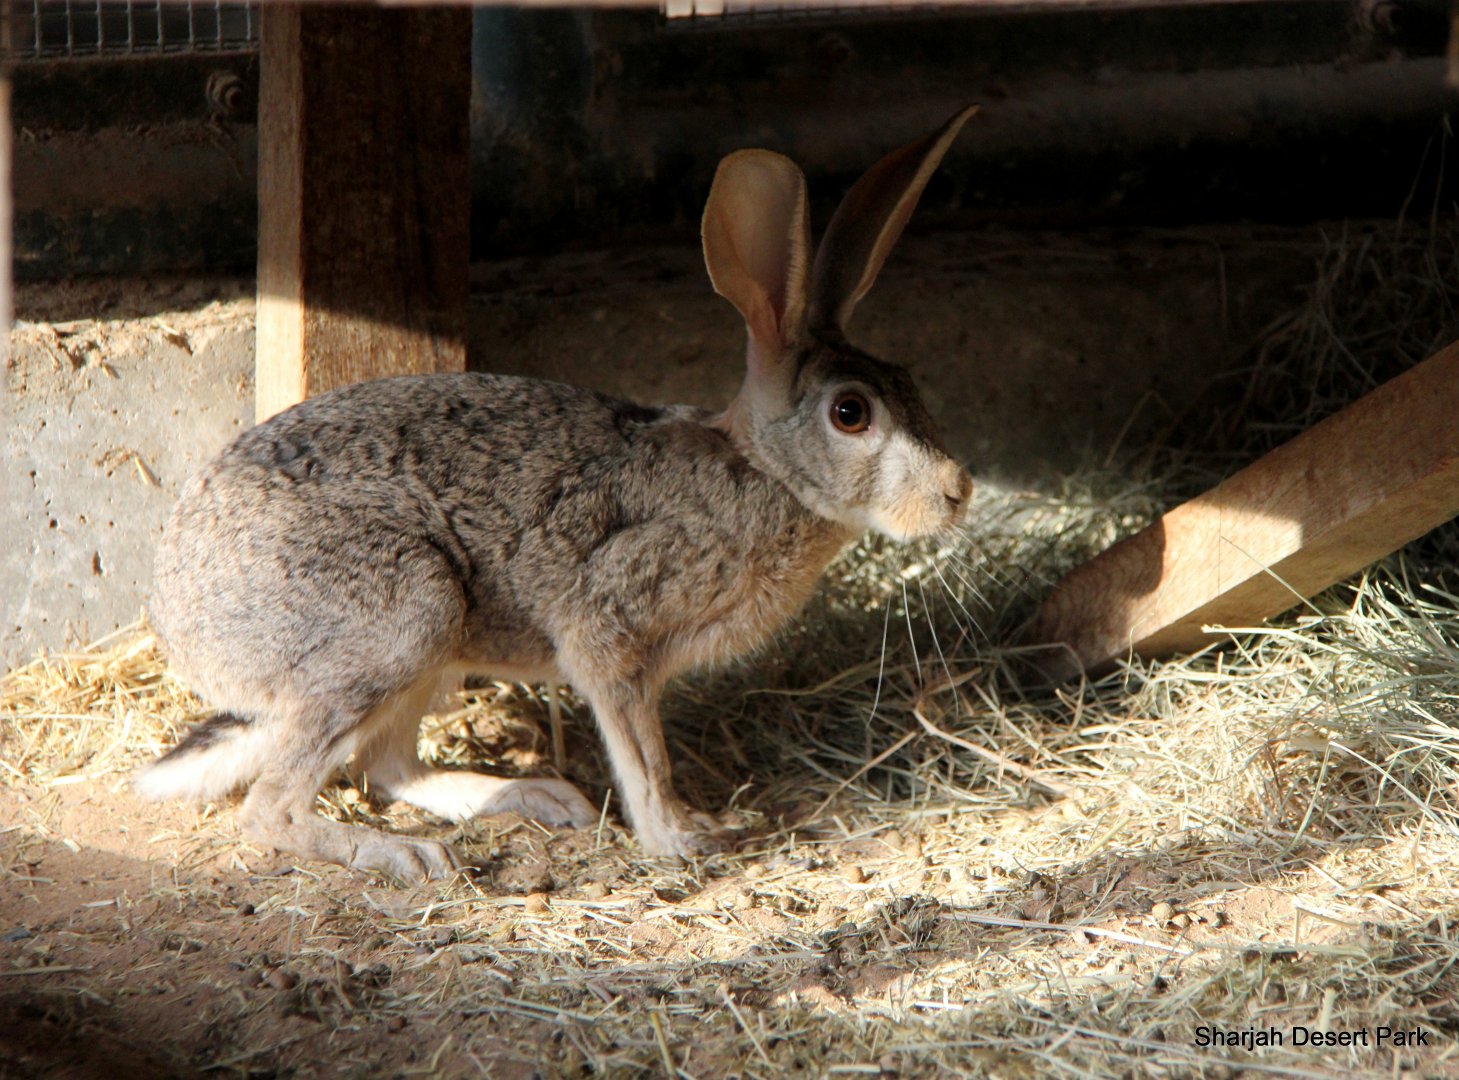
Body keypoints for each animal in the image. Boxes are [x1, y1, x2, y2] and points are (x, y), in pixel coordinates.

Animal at [135, 107, 977, 882]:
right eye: (851, 413)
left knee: (387, 767)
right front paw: (684, 835)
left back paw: (529, 797)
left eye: (909, 380)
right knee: (273, 807)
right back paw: (399, 854)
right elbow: (641, 751)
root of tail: (182, 624)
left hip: (431, 647)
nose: (957, 491)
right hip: (402, 614)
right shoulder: (609, 624)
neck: (761, 469)